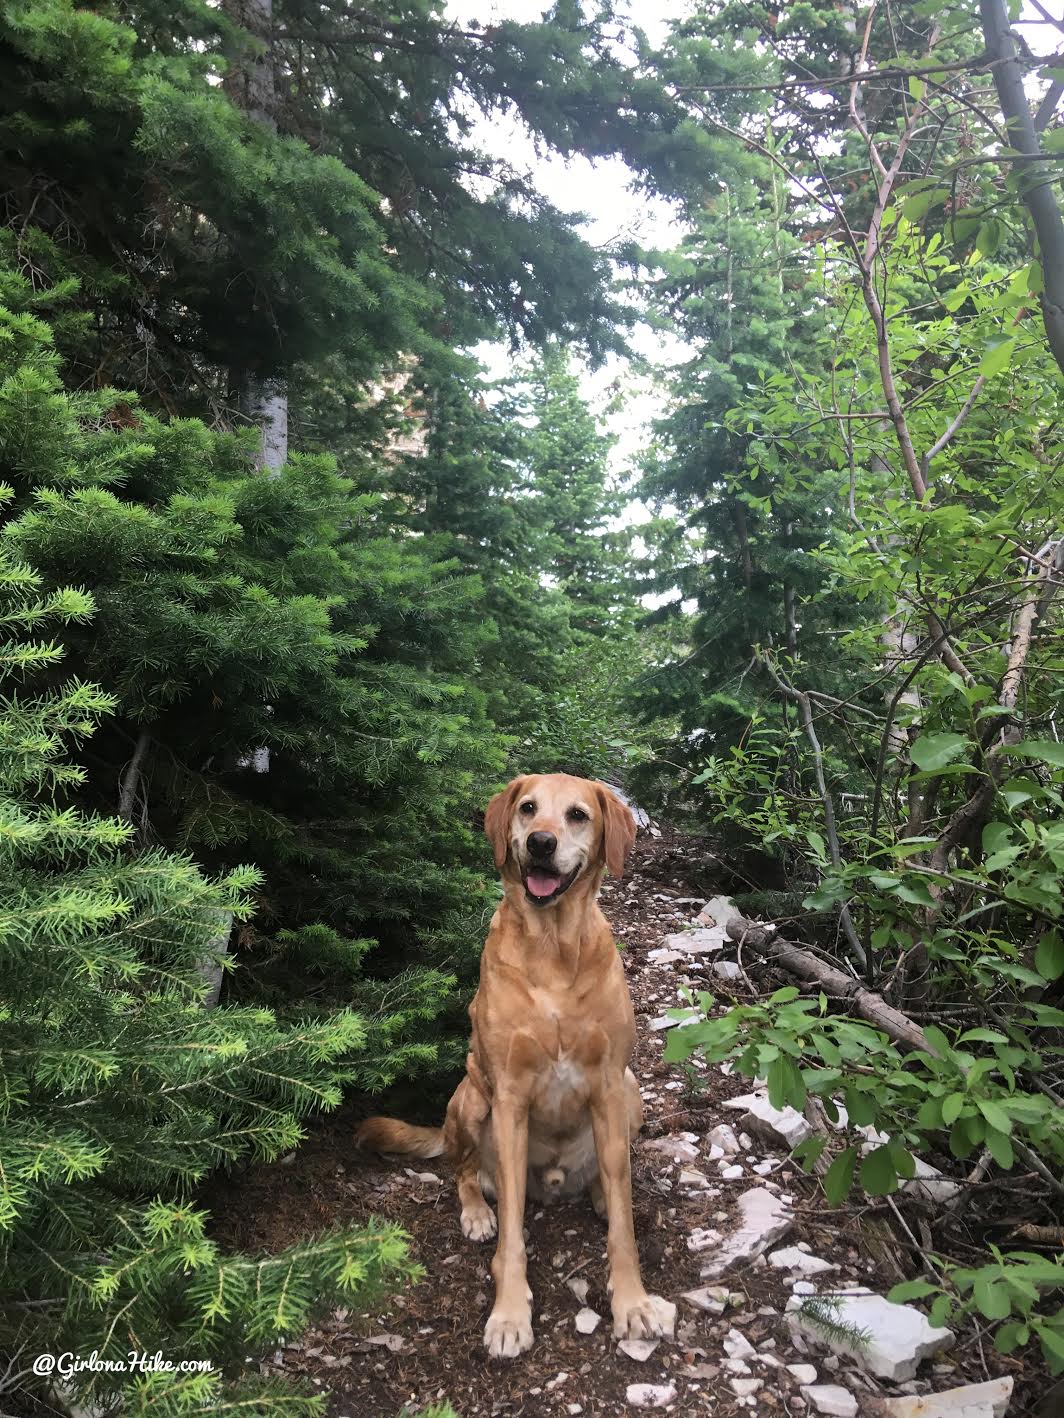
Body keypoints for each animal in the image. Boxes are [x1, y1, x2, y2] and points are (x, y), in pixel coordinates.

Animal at [363, 777, 669, 1361]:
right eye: (528, 809)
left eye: (578, 815)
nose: (541, 843)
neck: (552, 948)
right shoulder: (507, 1098)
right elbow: (511, 1235)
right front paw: (509, 1314)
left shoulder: (606, 1084)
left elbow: (623, 1225)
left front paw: (634, 1302)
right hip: (469, 1097)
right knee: (463, 1172)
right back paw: (477, 1212)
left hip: (630, 1090)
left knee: (607, 1174)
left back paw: (598, 1192)